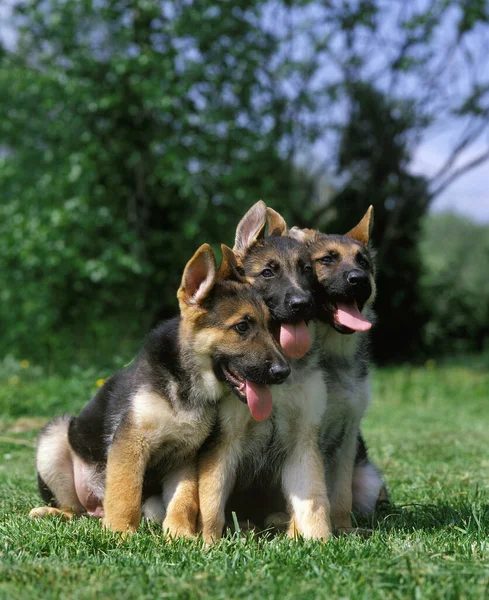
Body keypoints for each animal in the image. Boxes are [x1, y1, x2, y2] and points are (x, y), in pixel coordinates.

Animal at [29, 244, 290, 536]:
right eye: (242, 327)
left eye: (271, 326)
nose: (283, 372)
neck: (186, 386)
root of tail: (94, 509)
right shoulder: (131, 443)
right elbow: (125, 494)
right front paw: (121, 534)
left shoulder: (185, 457)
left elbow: (184, 500)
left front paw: (180, 534)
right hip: (55, 437)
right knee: (73, 508)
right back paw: (50, 512)